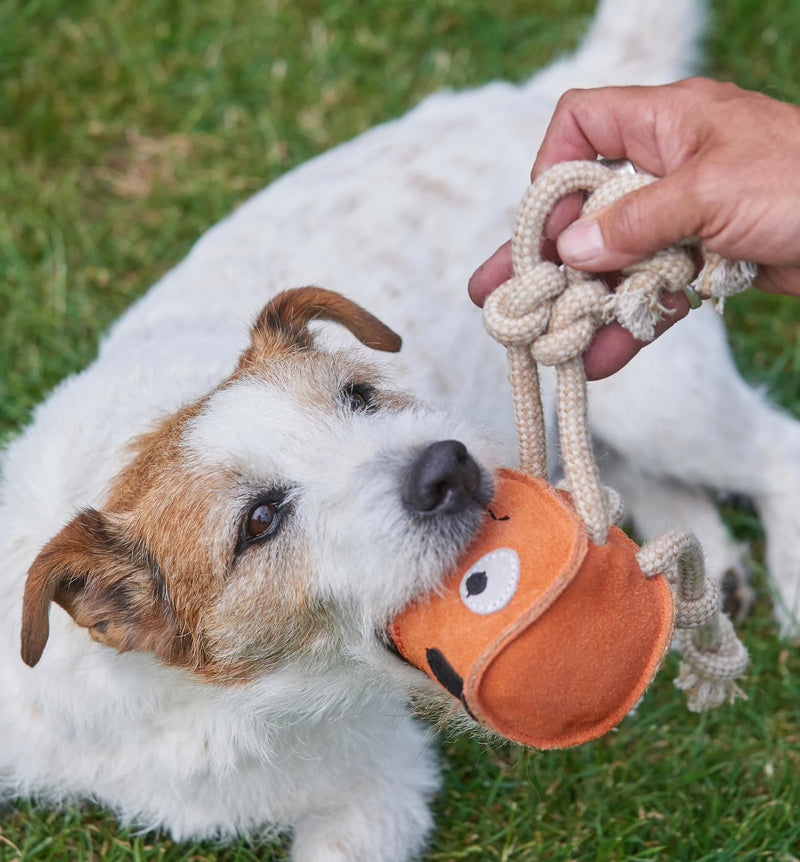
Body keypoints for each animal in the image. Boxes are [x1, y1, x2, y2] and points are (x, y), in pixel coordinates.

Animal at [1, 0, 800, 860]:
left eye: (359, 395)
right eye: (259, 521)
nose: (446, 467)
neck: (199, 702)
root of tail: (540, 93)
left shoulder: (377, 792)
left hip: (655, 393)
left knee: (772, 448)